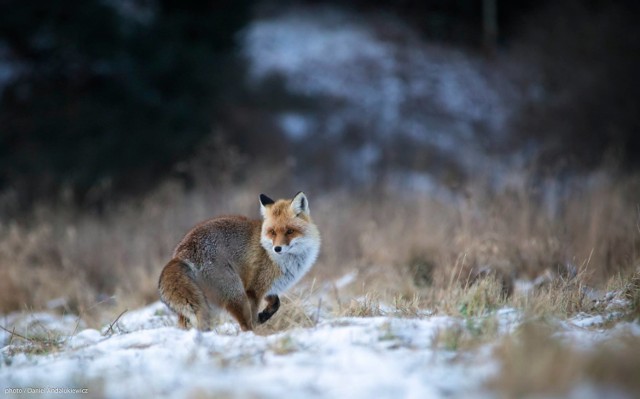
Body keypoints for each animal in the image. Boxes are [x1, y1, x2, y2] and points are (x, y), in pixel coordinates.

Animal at [158, 192, 322, 332]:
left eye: (289, 231)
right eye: (272, 232)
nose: (277, 248)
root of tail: (180, 254)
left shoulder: (263, 286)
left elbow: (276, 303)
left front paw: (264, 316)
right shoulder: (254, 290)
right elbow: (256, 315)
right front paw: (260, 321)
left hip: (200, 300)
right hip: (236, 294)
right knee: (245, 325)